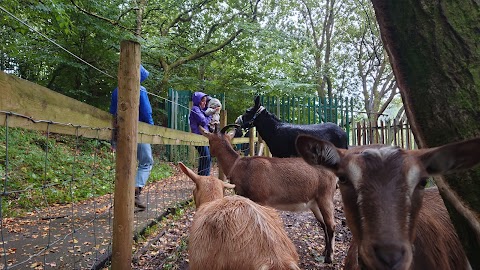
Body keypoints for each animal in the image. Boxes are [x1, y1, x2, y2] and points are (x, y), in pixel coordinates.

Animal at [200, 126, 338, 264]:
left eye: (210, 140)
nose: (210, 154)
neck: (241, 166)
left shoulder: (261, 200)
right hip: (314, 203)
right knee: (324, 224)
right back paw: (324, 252)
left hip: (325, 197)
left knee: (331, 225)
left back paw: (329, 258)